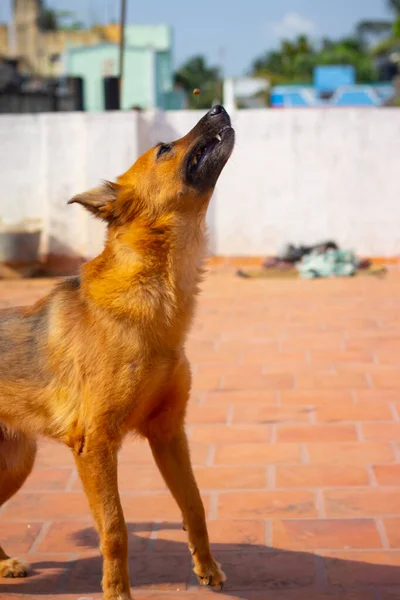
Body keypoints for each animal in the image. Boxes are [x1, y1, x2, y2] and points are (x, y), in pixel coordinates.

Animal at [0, 105, 234, 596]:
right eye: (164, 148)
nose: (218, 107)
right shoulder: (96, 445)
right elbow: (114, 528)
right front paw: (117, 591)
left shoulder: (168, 433)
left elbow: (195, 506)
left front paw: (206, 567)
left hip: (14, 462)